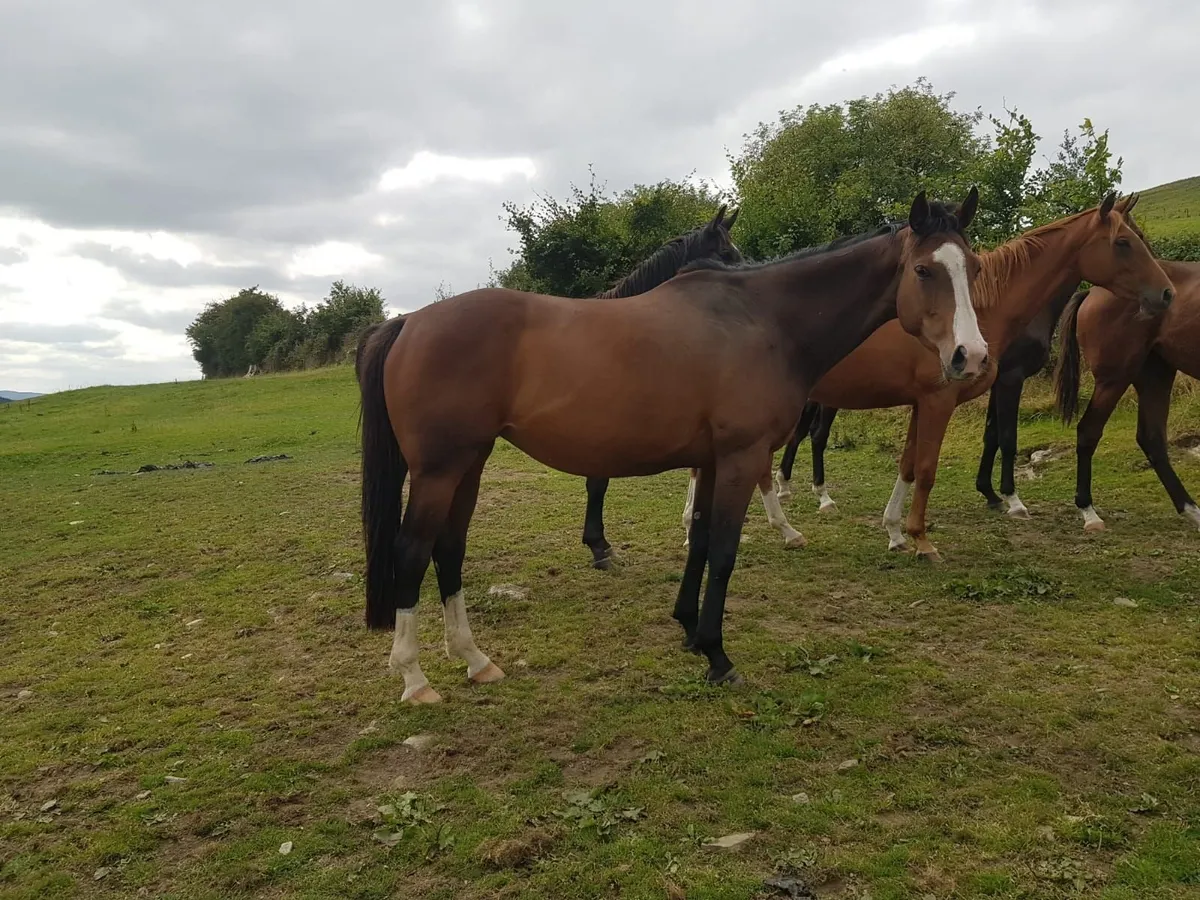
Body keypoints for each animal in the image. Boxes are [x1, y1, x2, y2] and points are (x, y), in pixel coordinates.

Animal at [355, 188, 986, 701]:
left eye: (974, 267)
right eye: (925, 270)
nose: (970, 357)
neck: (764, 322)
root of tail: (410, 322)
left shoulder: (711, 461)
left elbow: (700, 542)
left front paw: (688, 630)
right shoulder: (740, 458)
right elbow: (725, 550)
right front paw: (718, 655)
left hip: (470, 464)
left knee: (448, 550)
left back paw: (474, 659)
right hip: (439, 470)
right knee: (412, 552)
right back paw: (415, 679)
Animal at [767, 193, 1173, 560]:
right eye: (1124, 242)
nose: (1167, 293)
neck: (982, 309)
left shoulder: (925, 402)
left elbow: (910, 464)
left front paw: (896, 532)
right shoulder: (948, 398)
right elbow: (935, 465)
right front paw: (926, 538)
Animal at [1054, 255, 1198, 532]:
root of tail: (1092, 292)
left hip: (1156, 375)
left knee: (1152, 439)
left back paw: (1191, 510)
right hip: (1114, 379)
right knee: (1089, 431)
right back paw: (1089, 512)